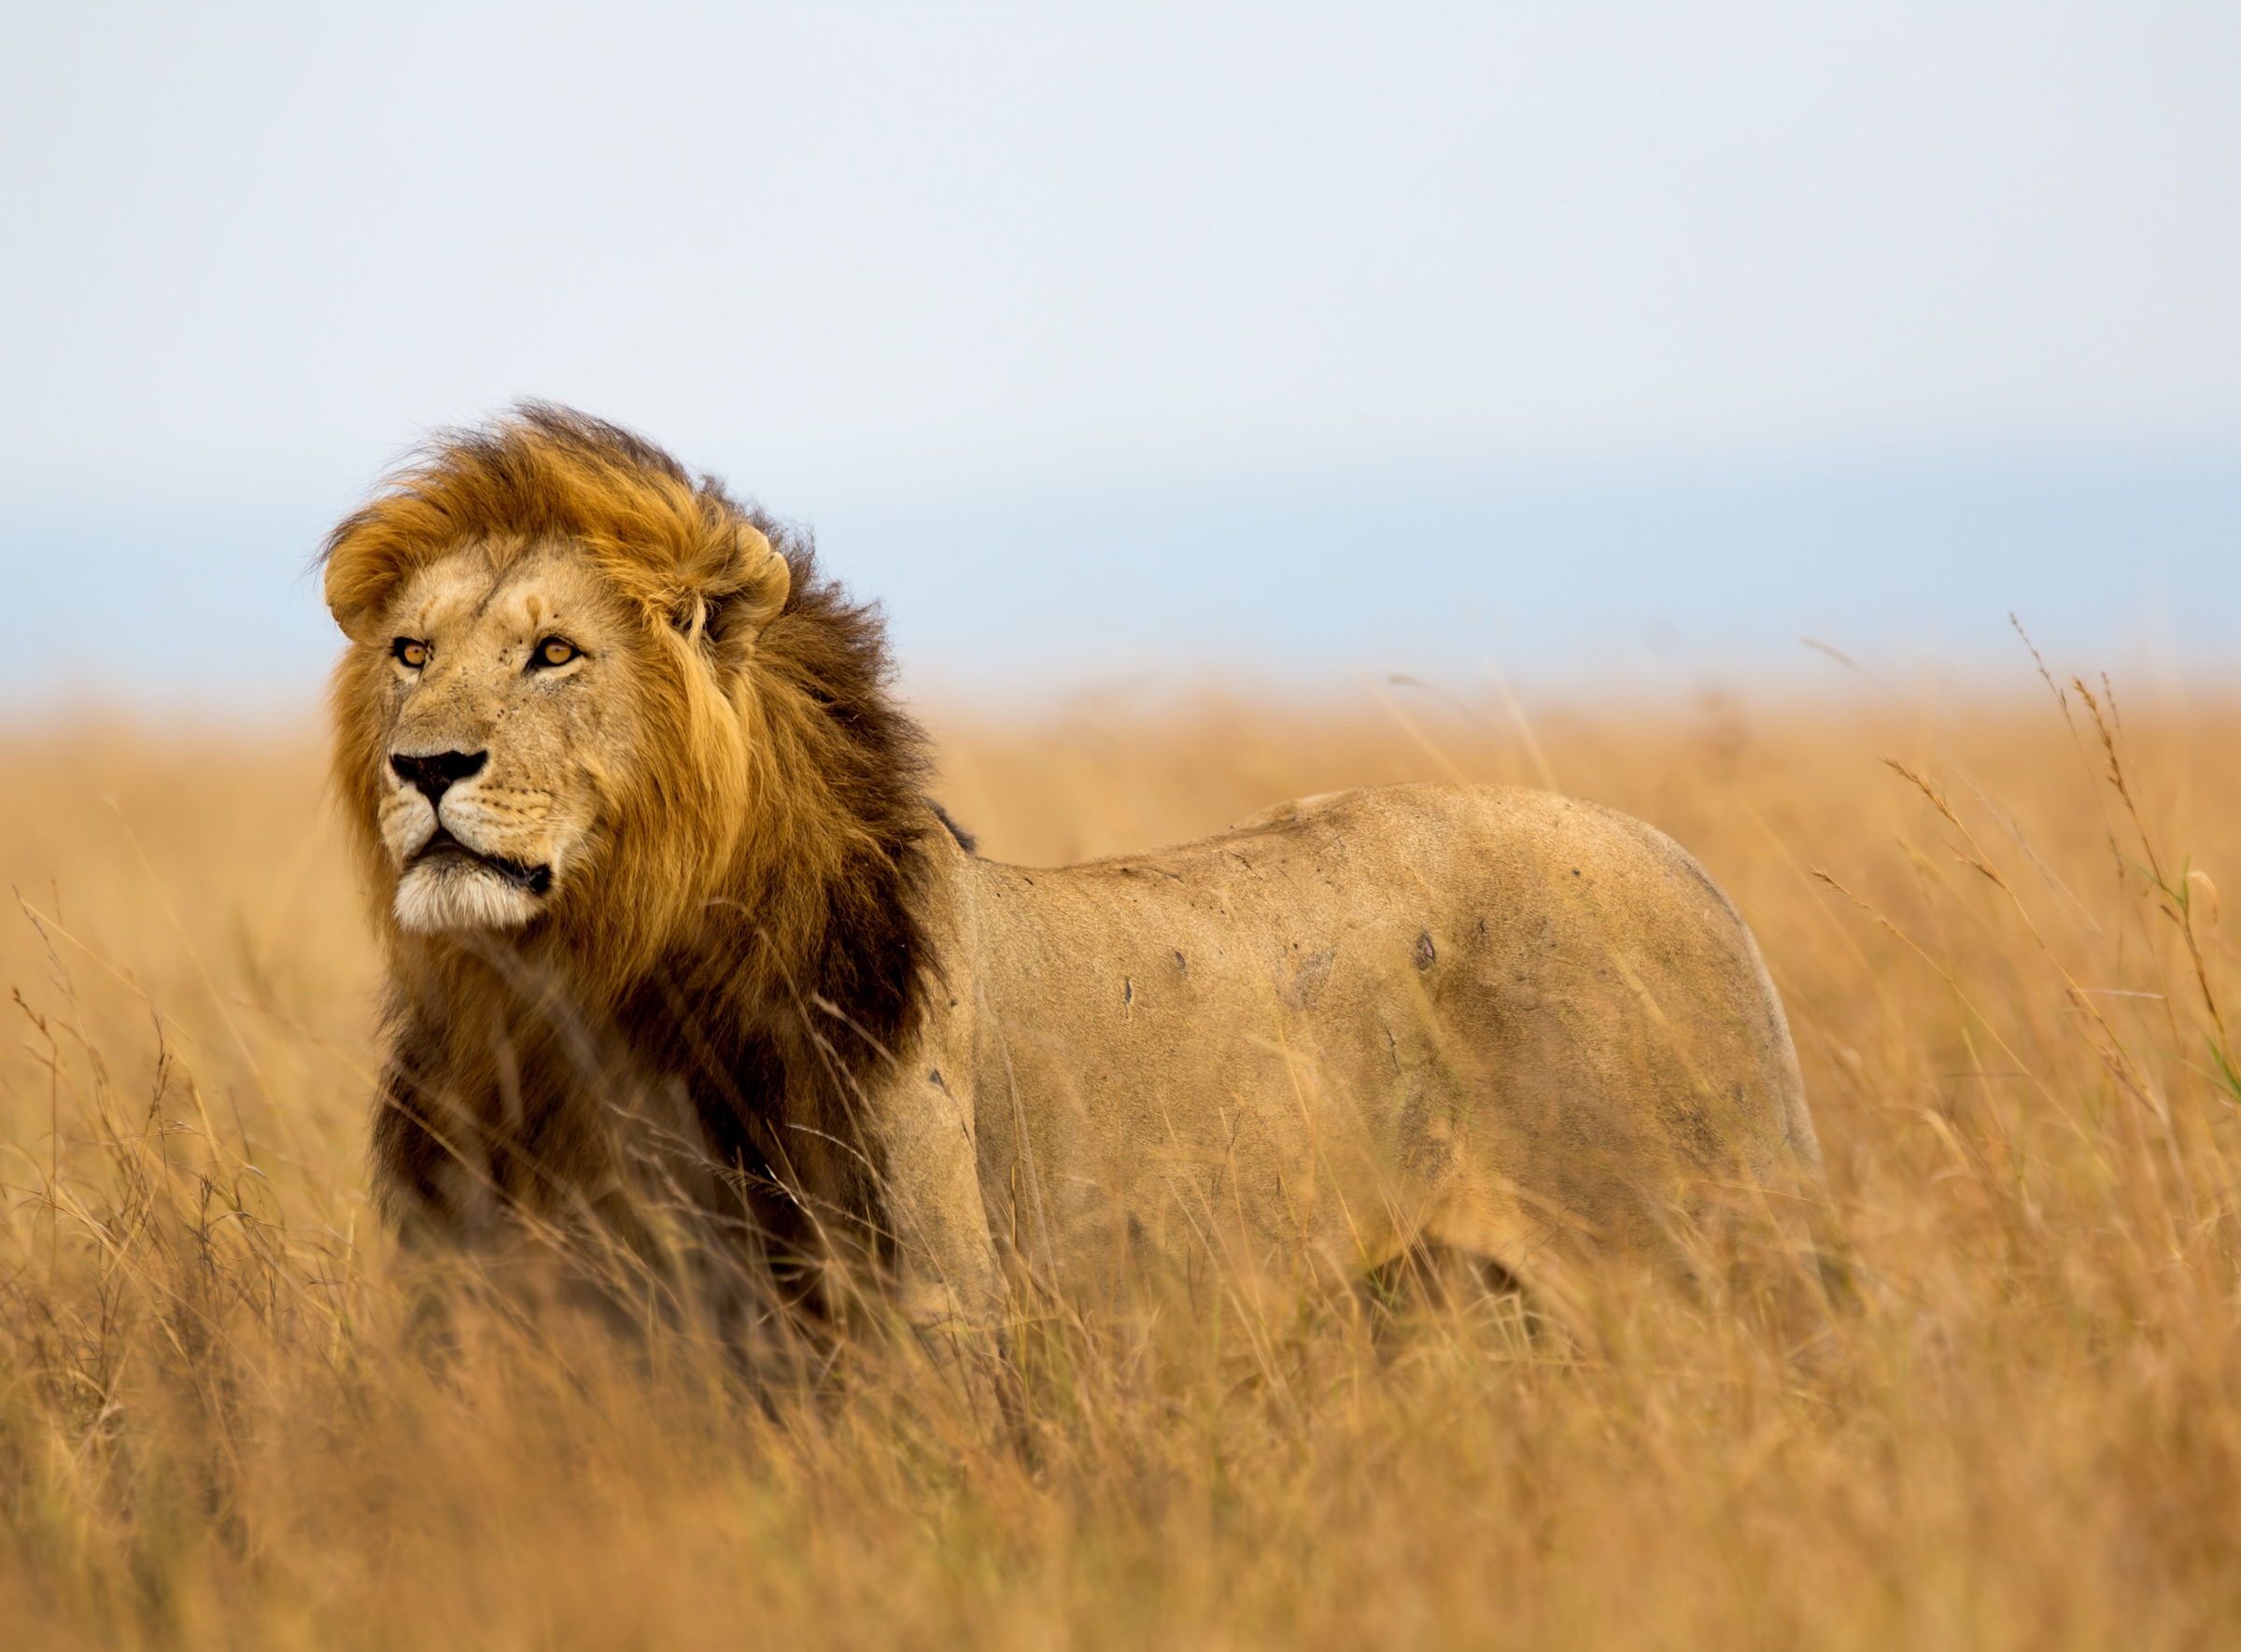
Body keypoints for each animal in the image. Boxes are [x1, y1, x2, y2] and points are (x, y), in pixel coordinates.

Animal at [322, 404, 1822, 1347]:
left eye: (553, 653)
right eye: (411, 652)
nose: (426, 766)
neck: (575, 994)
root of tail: (1692, 869)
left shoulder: (921, 1321)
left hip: (1705, 1275)